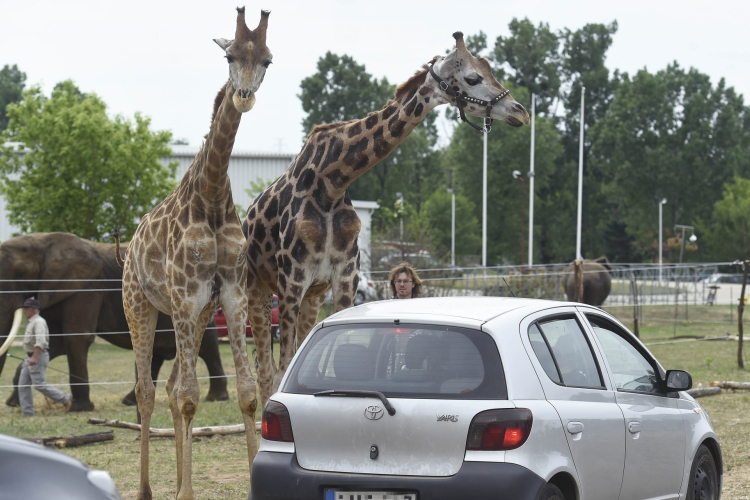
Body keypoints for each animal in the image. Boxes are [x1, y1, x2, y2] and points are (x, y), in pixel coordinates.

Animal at [0, 232, 229, 412]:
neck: (42, 240)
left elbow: (76, 340)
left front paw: (78, 408)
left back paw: (216, 398)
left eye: (20, 274)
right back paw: (130, 401)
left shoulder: (86, 289)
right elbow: (55, 343)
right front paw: (13, 403)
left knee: (208, 347)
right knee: (152, 353)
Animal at [119, 7, 278, 500]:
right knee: (149, 391)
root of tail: (129, 247)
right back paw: (149, 489)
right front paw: (185, 492)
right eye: (229, 55)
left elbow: (246, 393)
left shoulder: (230, 295)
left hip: (198, 314)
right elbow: (191, 397)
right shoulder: (187, 296)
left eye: (267, 60)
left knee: (170, 388)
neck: (210, 194)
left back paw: (172, 483)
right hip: (141, 306)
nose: (243, 96)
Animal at [244, 31, 532, 408]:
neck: (331, 183)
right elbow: (282, 372)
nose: (520, 112)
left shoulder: (344, 278)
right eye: (472, 78)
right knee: (263, 375)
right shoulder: (292, 281)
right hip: (257, 289)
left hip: (313, 294)